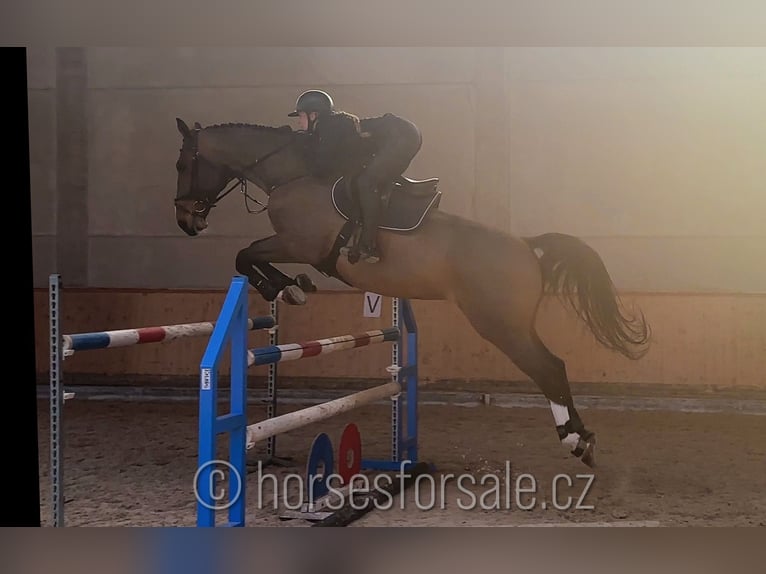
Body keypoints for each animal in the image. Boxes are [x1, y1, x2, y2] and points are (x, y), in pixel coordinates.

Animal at [172, 117, 651, 468]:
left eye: (181, 165)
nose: (186, 222)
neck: (293, 172)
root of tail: (526, 246)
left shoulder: (297, 245)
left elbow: (244, 255)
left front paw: (288, 288)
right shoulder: (295, 246)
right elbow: (249, 256)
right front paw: (293, 287)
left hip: (500, 324)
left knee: (548, 367)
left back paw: (576, 441)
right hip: (511, 322)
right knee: (554, 367)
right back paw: (582, 439)